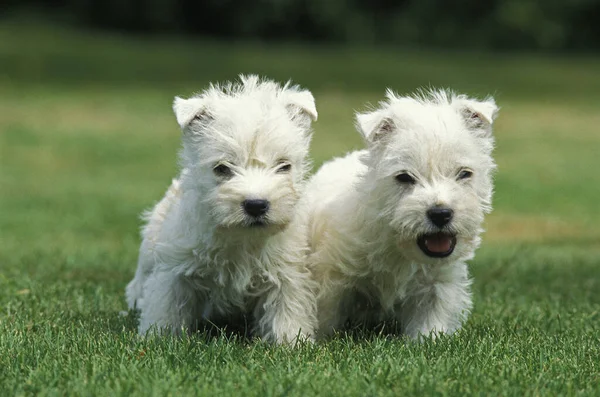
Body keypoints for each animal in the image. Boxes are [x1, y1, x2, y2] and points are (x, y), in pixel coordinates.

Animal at [126, 76, 318, 342]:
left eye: (284, 166)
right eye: (222, 168)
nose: (256, 205)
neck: (240, 237)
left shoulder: (286, 272)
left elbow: (286, 312)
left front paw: (291, 343)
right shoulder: (174, 271)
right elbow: (167, 308)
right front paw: (158, 339)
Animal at [302, 89, 500, 340]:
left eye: (464, 173)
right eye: (404, 177)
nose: (441, 213)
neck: (397, 242)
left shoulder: (436, 284)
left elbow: (431, 322)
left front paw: (428, 340)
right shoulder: (333, 275)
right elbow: (325, 314)